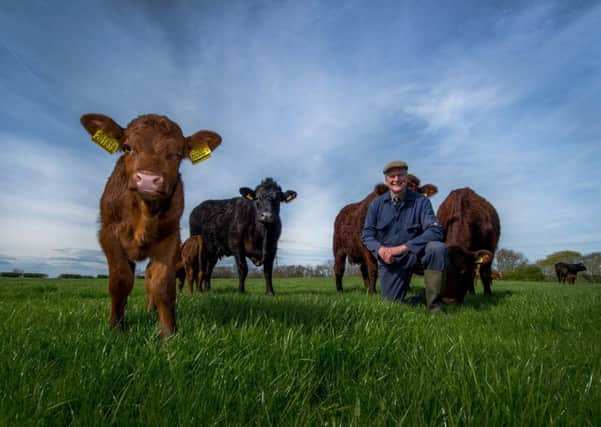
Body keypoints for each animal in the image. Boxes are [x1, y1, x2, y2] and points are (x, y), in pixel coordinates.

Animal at [79, 113, 220, 338]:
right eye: (127, 147)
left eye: (177, 155)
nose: (147, 180)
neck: (145, 214)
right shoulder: (108, 233)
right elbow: (120, 281)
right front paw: (116, 328)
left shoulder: (170, 237)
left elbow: (162, 285)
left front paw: (169, 334)